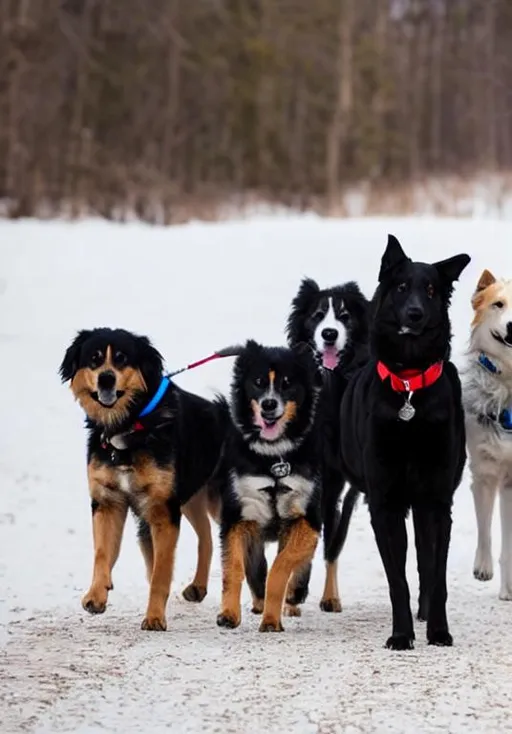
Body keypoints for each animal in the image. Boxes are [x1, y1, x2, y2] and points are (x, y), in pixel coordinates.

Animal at [59, 330, 224, 632]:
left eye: (122, 358)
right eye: (94, 358)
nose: (106, 379)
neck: (130, 425)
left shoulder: (162, 509)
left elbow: (160, 573)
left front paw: (155, 617)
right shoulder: (108, 501)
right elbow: (103, 553)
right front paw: (96, 595)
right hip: (191, 498)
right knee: (205, 535)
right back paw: (198, 587)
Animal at [217, 340, 324, 632]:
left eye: (287, 383)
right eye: (258, 382)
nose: (268, 404)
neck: (274, 457)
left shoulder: (306, 517)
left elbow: (281, 566)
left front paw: (272, 619)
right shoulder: (239, 515)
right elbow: (234, 569)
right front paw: (228, 614)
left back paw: (292, 597)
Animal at [338, 237, 470, 648]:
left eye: (430, 290)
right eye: (400, 287)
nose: (414, 314)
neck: (410, 385)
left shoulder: (437, 502)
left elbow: (435, 574)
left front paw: (438, 631)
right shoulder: (385, 504)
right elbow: (397, 580)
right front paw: (400, 635)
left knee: (427, 565)